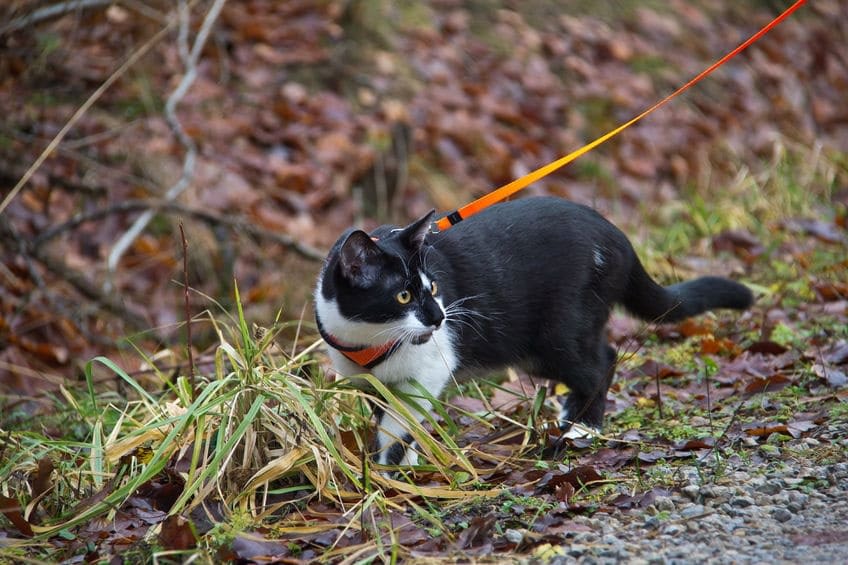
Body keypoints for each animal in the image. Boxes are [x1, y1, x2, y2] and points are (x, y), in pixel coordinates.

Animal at [314, 196, 752, 464]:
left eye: (433, 287)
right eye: (404, 296)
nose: (439, 318)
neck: (371, 341)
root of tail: (616, 235)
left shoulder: (430, 368)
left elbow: (399, 424)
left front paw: (388, 473)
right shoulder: (374, 385)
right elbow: (396, 420)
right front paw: (408, 466)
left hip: (557, 331)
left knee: (601, 362)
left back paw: (583, 429)